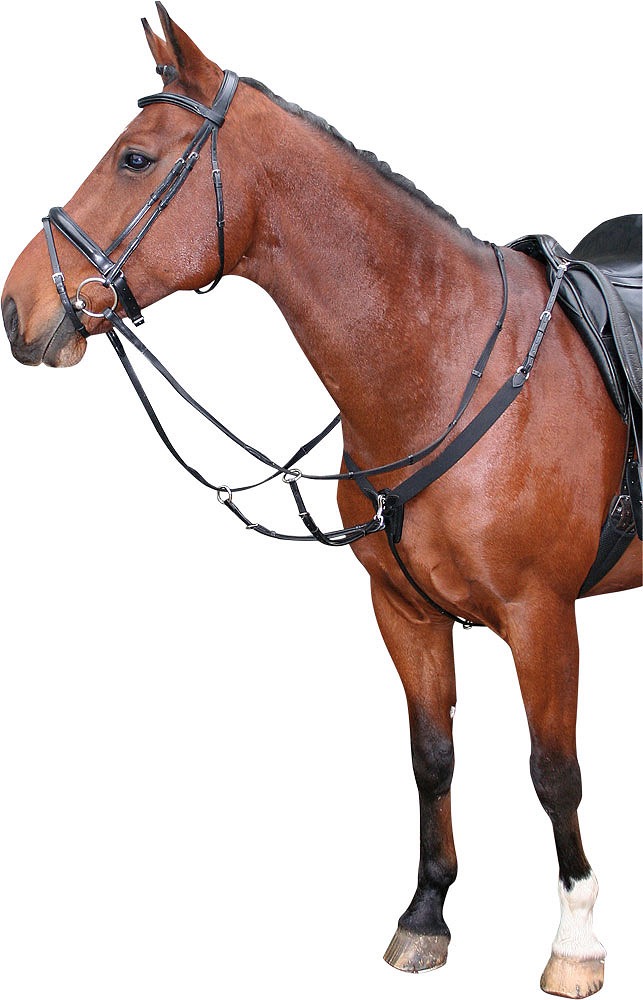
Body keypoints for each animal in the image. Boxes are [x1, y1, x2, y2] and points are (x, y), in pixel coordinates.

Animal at [2, 6, 640, 997]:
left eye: (135, 159)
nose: (17, 307)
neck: (445, 361)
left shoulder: (541, 616)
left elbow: (553, 771)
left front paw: (575, 942)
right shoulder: (402, 611)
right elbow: (430, 757)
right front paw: (425, 914)